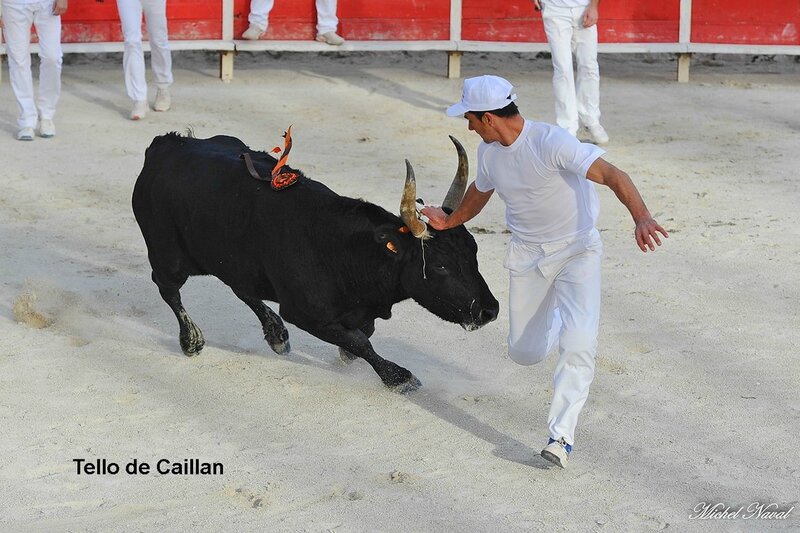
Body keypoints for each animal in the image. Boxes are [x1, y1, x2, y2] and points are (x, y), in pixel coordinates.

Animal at [134, 132, 496, 390]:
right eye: (440, 265)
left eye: (474, 250)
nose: (489, 311)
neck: (344, 250)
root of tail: (164, 144)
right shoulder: (307, 314)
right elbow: (359, 342)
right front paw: (399, 377)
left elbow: (362, 334)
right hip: (167, 253)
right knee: (168, 289)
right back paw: (192, 340)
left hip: (233, 257)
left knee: (241, 287)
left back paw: (276, 335)